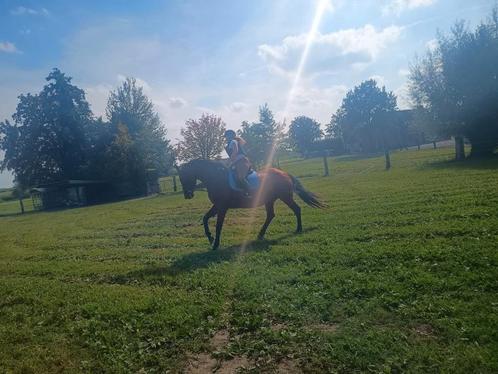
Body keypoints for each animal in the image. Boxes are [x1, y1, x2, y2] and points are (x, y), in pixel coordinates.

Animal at [177, 159, 324, 250]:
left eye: (186, 176)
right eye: (181, 178)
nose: (188, 195)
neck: (216, 178)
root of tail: (283, 173)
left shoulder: (222, 207)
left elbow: (218, 226)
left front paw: (215, 244)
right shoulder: (217, 206)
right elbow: (205, 218)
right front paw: (210, 238)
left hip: (285, 197)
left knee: (296, 209)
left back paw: (298, 229)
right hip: (270, 200)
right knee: (271, 215)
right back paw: (260, 234)